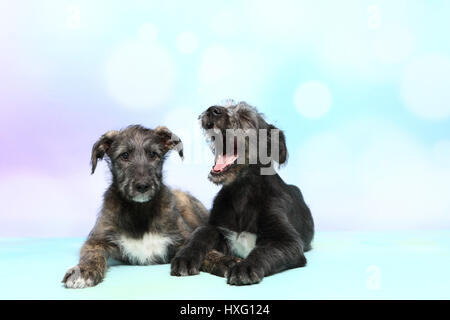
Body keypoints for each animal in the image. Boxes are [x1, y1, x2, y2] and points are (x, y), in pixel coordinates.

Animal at [63, 124, 211, 288]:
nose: (143, 186)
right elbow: (92, 254)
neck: (139, 210)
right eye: (124, 155)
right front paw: (83, 270)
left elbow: (206, 250)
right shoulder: (97, 240)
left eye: (153, 154)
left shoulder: (184, 237)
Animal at [171, 100, 314, 284]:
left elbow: (264, 251)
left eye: (246, 117)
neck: (242, 192)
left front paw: (245, 267)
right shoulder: (215, 226)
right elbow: (199, 233)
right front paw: (185, 257)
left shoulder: (287, 241)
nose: (213, 110)